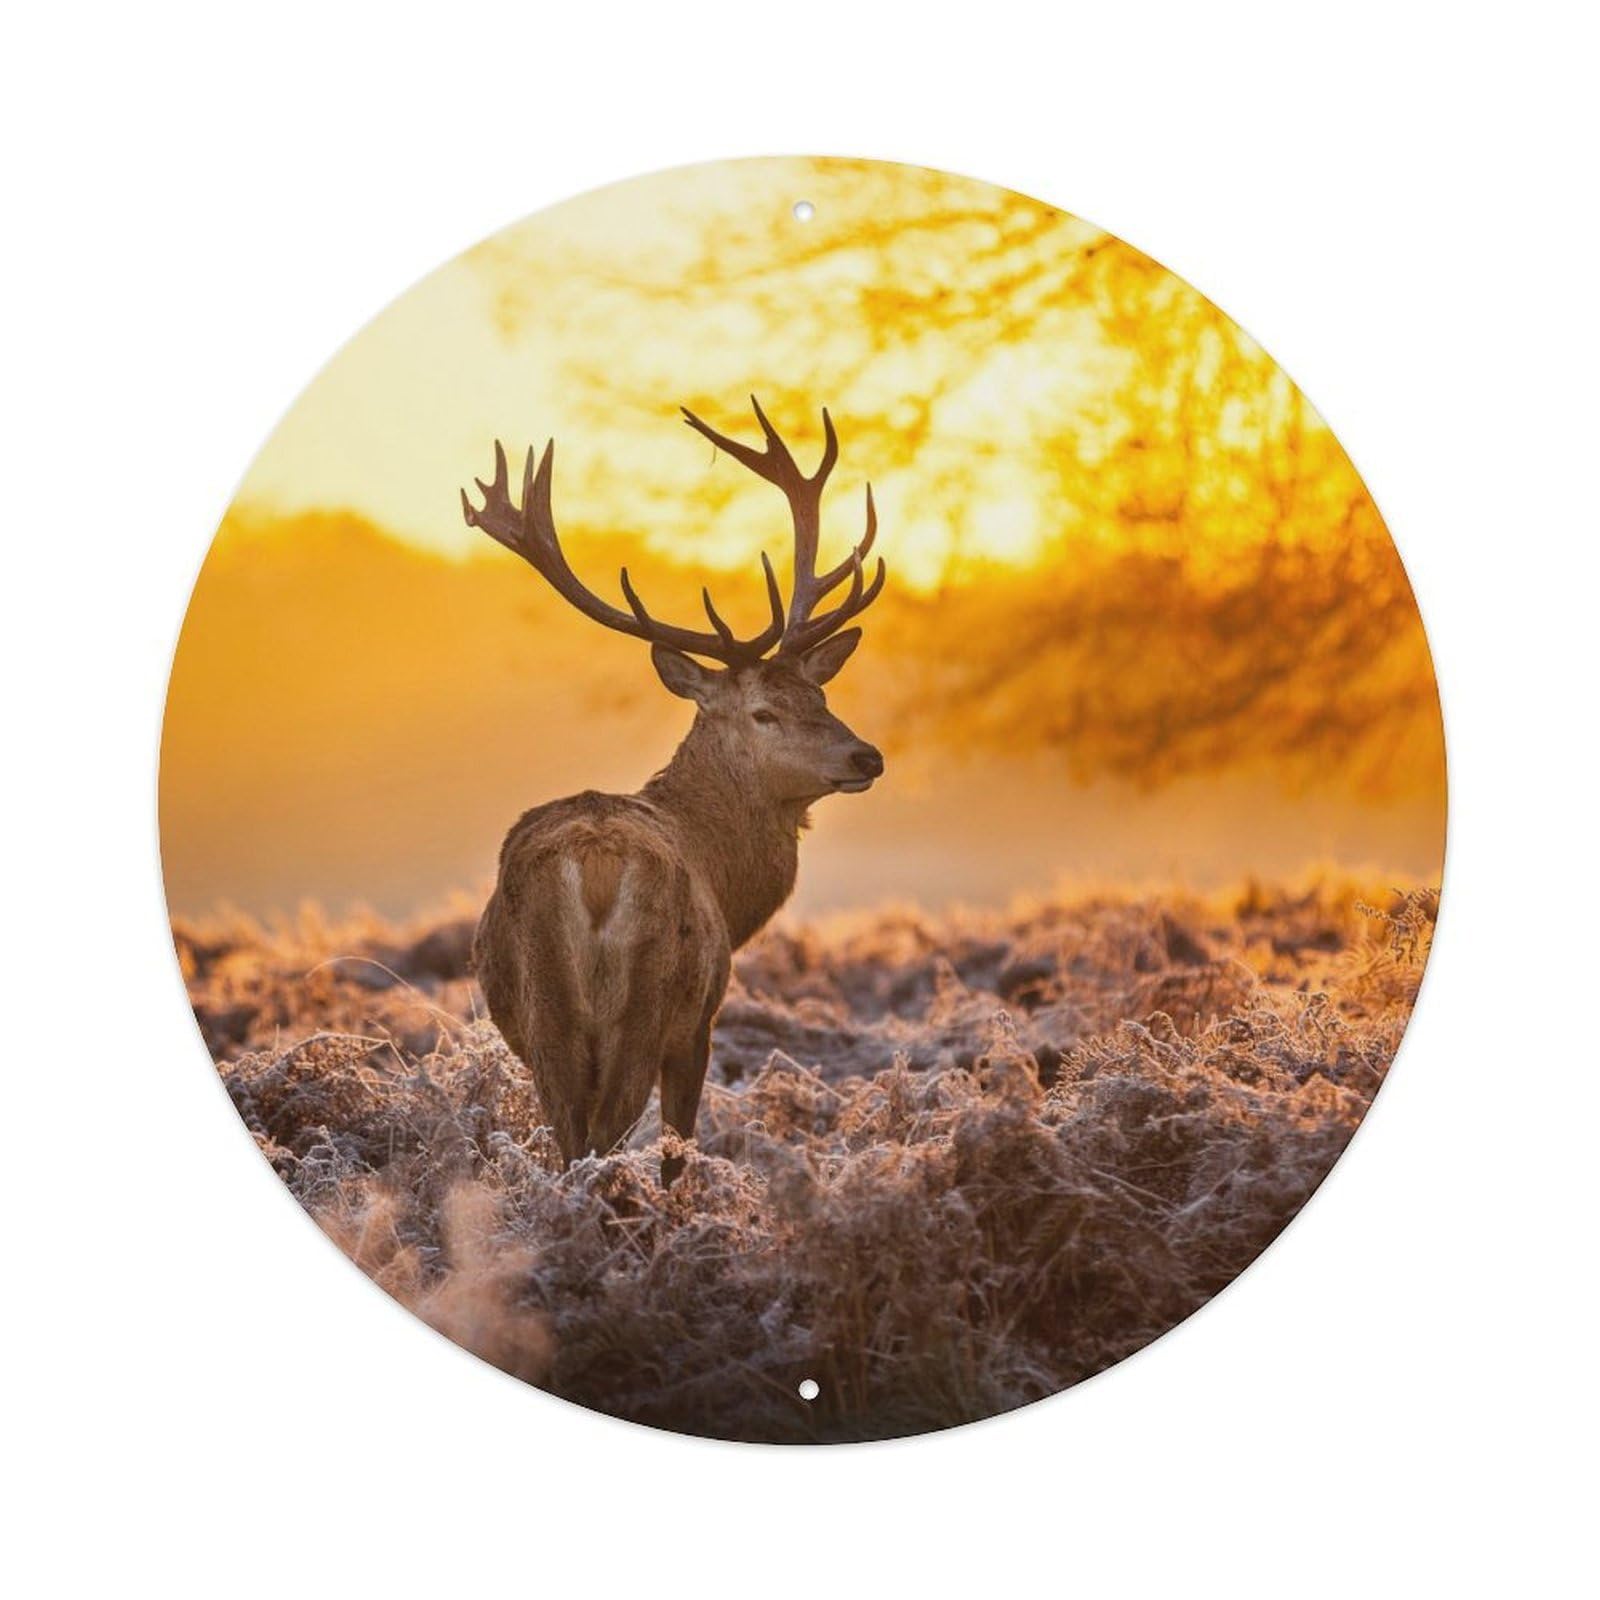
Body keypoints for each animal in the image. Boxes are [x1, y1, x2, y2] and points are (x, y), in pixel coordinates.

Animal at [461, 398, 886, 1179]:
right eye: (764, 711)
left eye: (821, 695)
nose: (866, 756)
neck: (726, 877)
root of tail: (595, 865)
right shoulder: (700, 1023)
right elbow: (679, 1144)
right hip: (647, 1004)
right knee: (605, 1139)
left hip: (545, 1017)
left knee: (570, 1141)